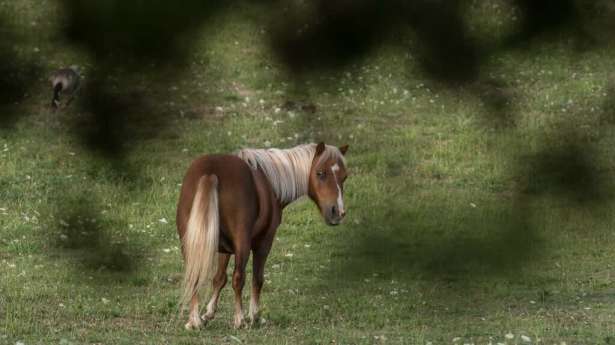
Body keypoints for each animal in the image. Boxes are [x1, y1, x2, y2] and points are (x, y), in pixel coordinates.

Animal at [177, 142, 352, 328]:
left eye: (344, 177)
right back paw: (239, 319)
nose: (337, 212)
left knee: (194, 275)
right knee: (239, 278)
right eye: (320, 173)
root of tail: (211, 173)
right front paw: (254, 315)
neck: (270, 182)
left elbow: (219, 278)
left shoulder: (224, 248)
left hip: (190, 243)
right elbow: (257, 279)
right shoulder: (264, 242)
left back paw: (194, 320)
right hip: (243, 244)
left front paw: (209, 313)